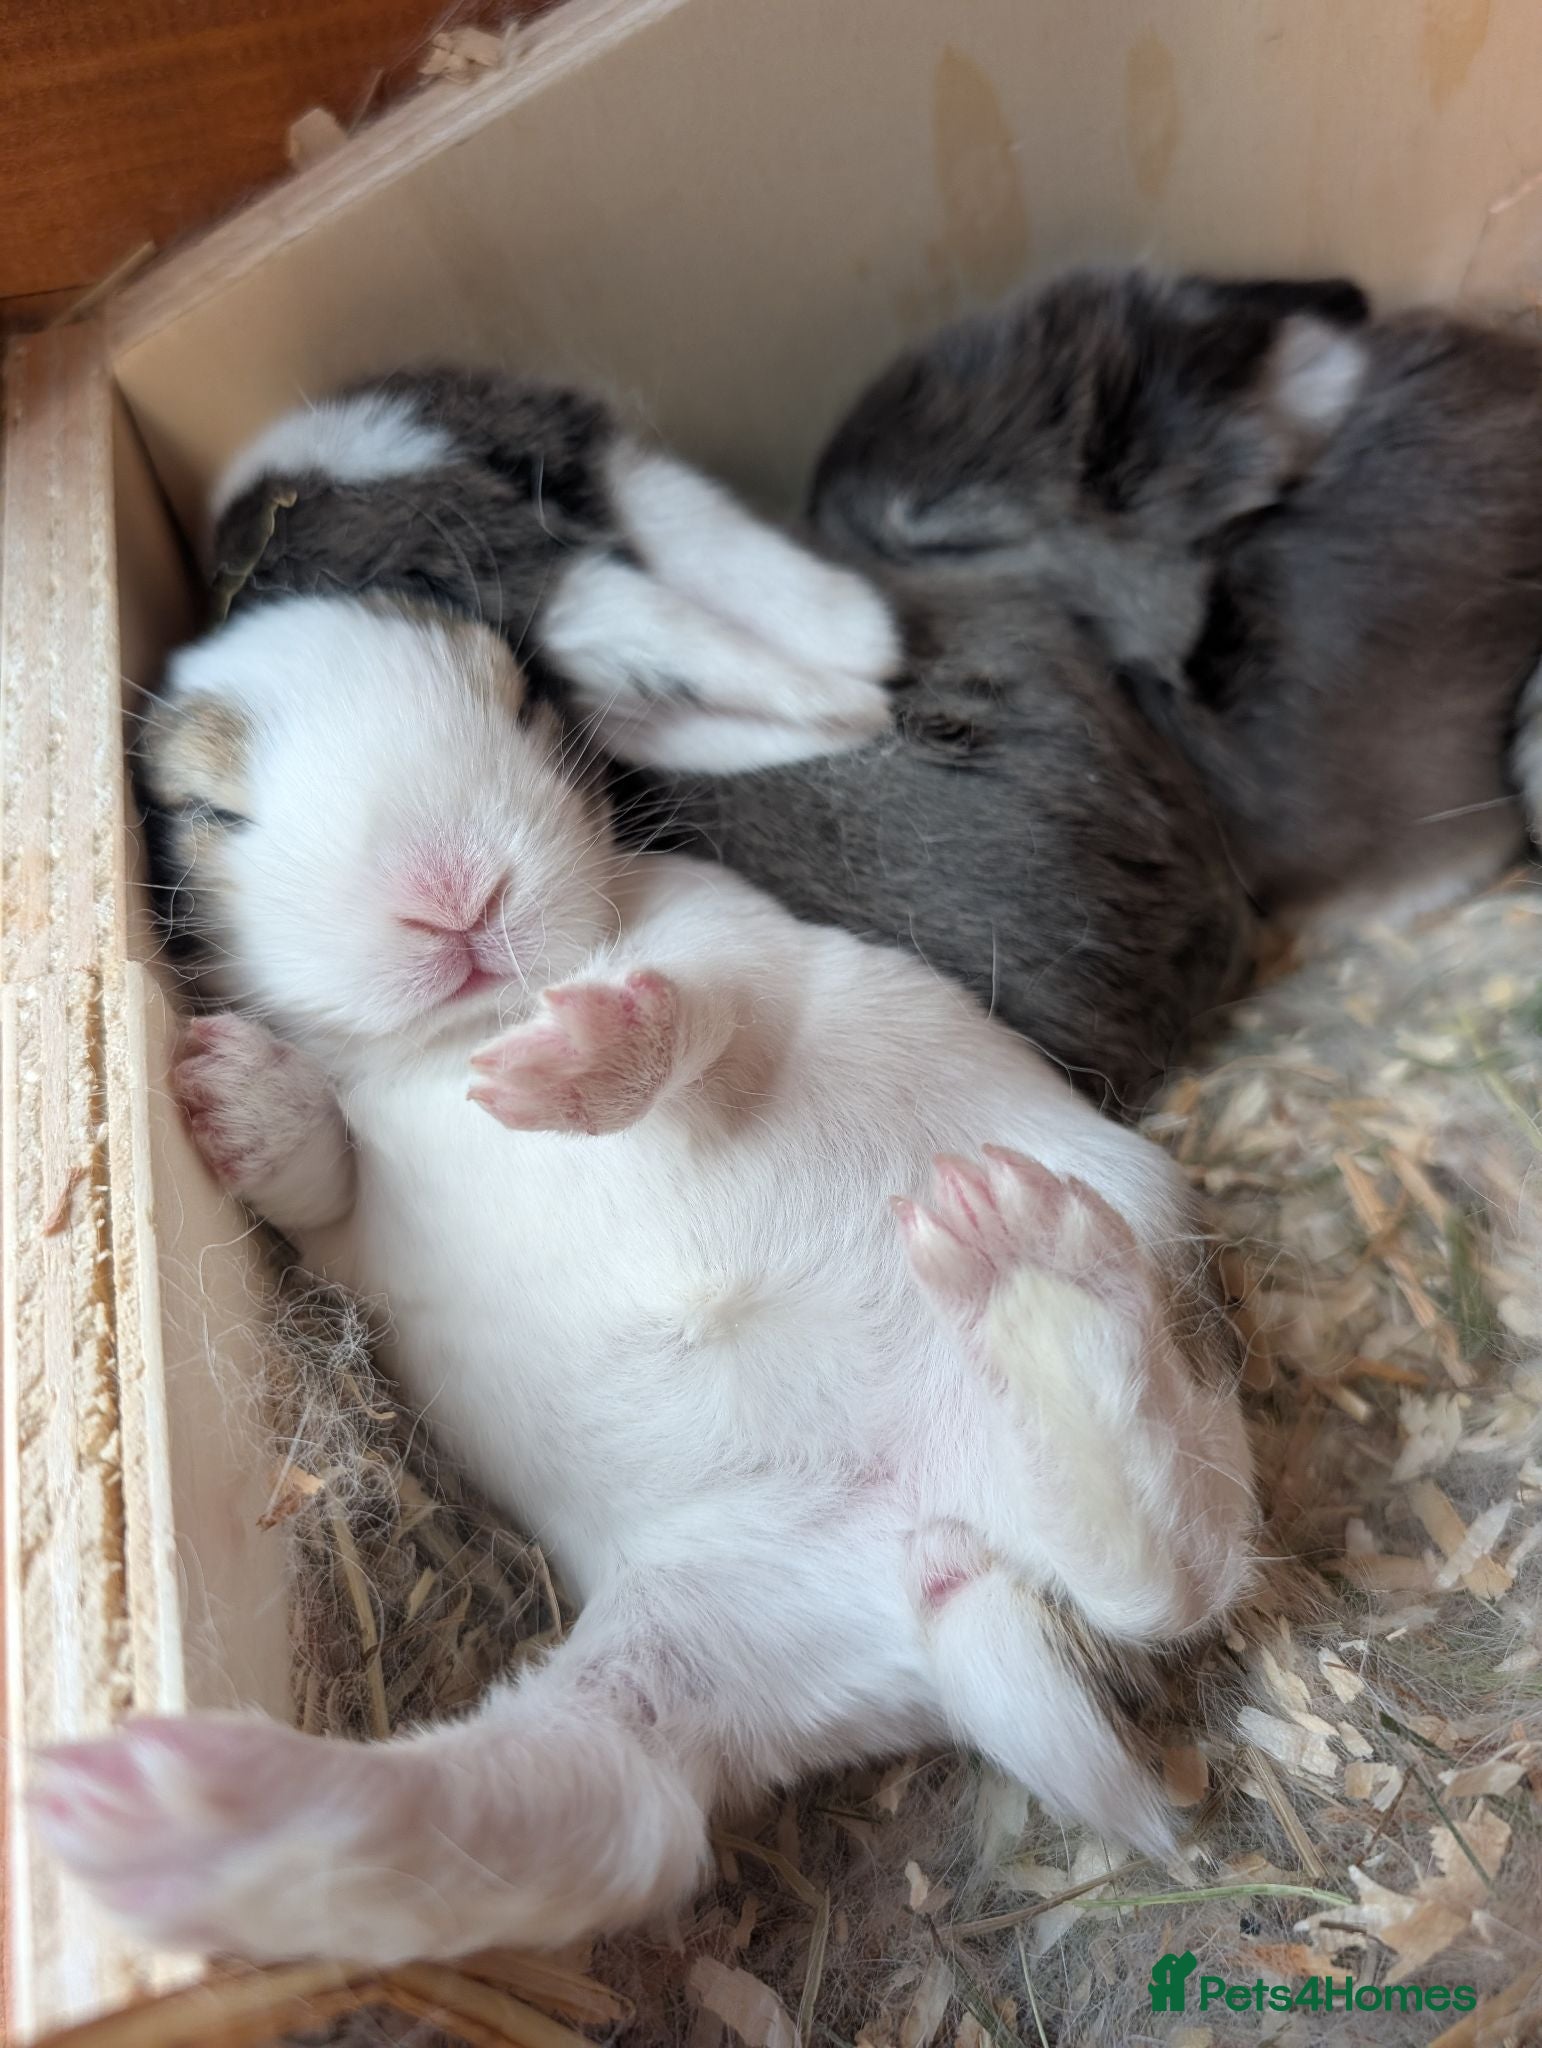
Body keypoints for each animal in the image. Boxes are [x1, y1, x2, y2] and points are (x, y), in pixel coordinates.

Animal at [32, 592, 1256, 1966]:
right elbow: (318, 1162)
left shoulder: (719, 944)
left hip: (1149, 1269)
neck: (459, 1038)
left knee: (1182, 1569)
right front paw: (226, 1087)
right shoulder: (348, 1208)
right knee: (601, 1806)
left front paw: (574, 1052)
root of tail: (939, 1551)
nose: (453, 894)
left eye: (521, 706)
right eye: (213, 811)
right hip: (690, 1643)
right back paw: (171, 1810)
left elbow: (694, 1014)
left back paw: (1027, 1264)